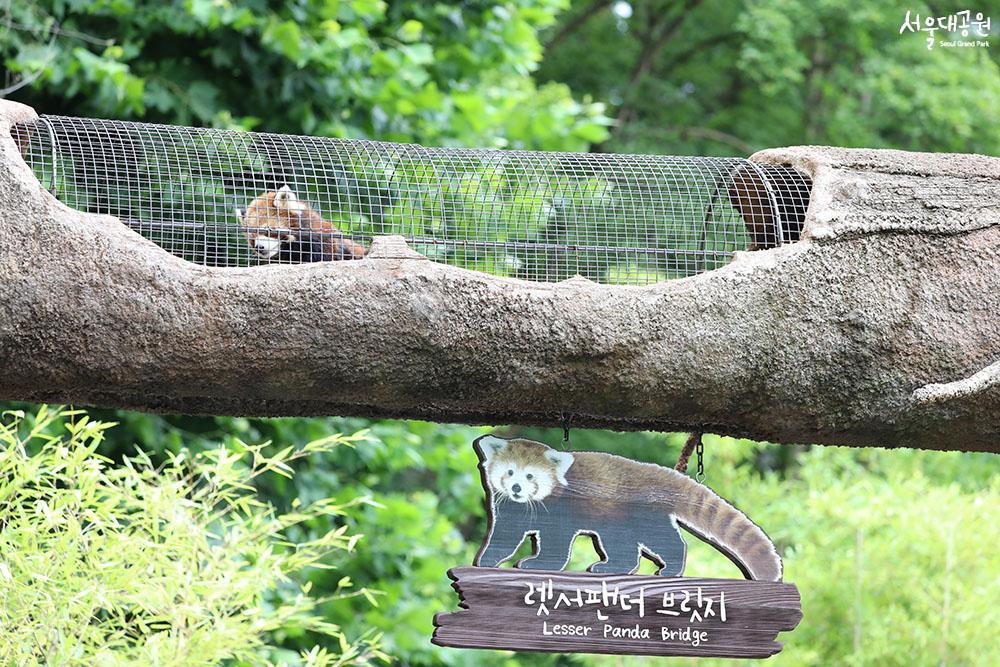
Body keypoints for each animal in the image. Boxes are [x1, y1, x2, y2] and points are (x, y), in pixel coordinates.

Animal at [474, 436, 780, 580]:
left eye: (530, 477)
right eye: (510, 472)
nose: (516, 489)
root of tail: (657, 473)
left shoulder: (560, 509)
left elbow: (556, 542)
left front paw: (538, 563)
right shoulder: (509, 509)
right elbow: (505, 536)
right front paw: (487, 561)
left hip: (643, 514)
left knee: (666, 541)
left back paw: (669, 569)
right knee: (623, 547)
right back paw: (611, 566)